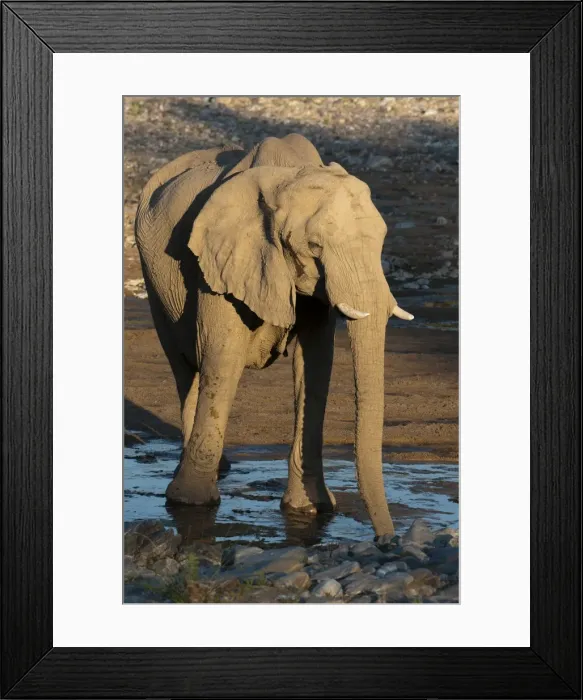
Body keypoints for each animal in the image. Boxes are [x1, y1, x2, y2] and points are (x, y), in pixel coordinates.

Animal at [134, 133, 413, 537]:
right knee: (185, 365)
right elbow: (223, 355)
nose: (388, 543)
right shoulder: (220, 261)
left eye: (381, 241)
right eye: (314, 247)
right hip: (156, 282)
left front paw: (310, 509)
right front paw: (191, 504)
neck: (289, 177)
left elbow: (315, 364)